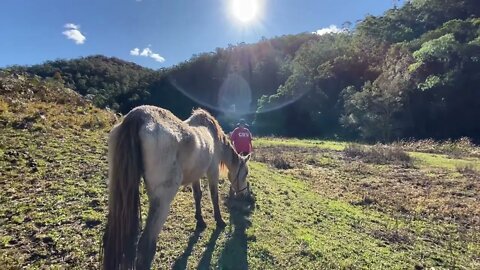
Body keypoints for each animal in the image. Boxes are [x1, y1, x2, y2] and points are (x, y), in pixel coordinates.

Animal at [101, 105, 251, 270]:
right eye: (246, 173)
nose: (244, 196)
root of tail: (138, 115)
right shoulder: (212, 171)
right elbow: (214, 196)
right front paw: (219, 221)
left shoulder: (196, 174)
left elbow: (197, 195)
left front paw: (200, 221)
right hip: (162, 202)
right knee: (146, 246)